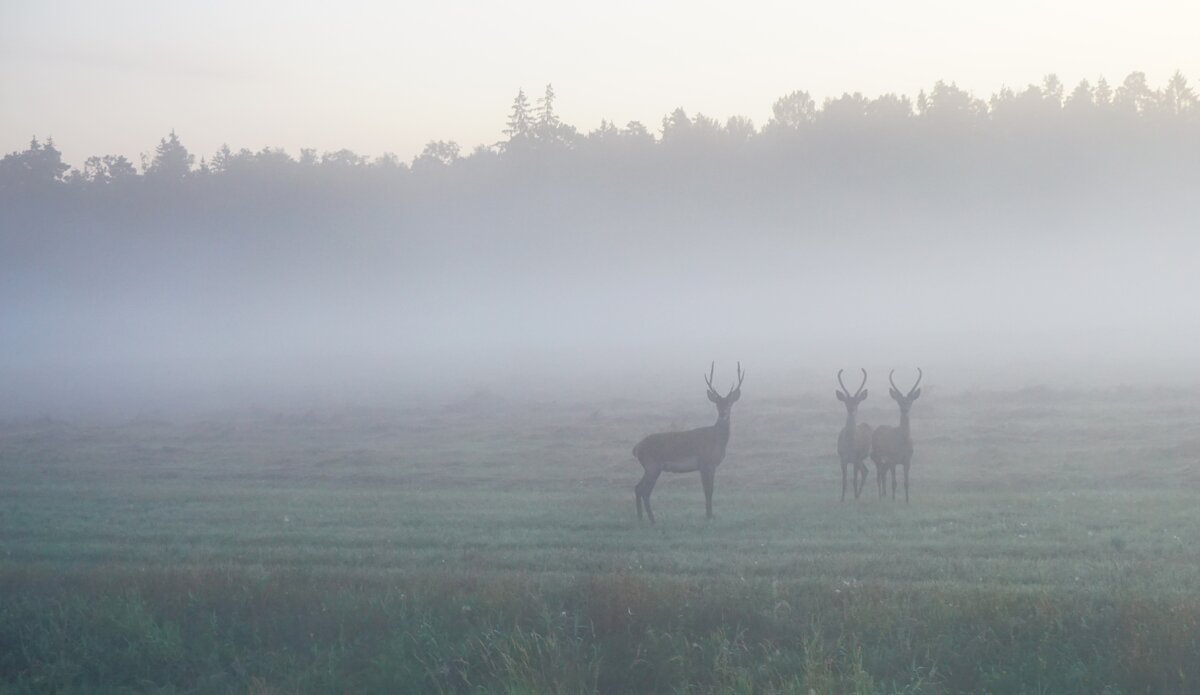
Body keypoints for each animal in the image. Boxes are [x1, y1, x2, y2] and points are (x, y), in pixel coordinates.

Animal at [633, 364, 744, 523]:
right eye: (717, 404)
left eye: (729, 403)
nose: (723, 413)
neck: (717, 441)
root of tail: (636, 448)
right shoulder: (704, 463)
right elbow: (707, 490)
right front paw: (708, 516)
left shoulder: (711, 466)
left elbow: (711, 489)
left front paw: (710, 515)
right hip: (652, 465)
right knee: (643, 490)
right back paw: (652, 520)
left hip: (650, 467)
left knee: (638, 488)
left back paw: (642, 518)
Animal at [835, 369, 873, 499]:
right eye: (846, 402)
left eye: (857, 402)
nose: (851, 409)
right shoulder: (842, 458)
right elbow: (844, 480)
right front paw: (842, 499)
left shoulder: (856, 458)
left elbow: (855, 480)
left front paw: (855, 498)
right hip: (859, 460)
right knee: (865, 471)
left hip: (865, 456)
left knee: (867, 471)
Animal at [868, 369, 921, 506]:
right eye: (899, 401)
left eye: (910, 401)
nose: (904, 409)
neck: (902, 443)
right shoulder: (892, 460)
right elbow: (894, 482)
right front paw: (893, 500)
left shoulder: (908, 461)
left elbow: (906, 483)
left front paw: (907, 501)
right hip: (877, 455)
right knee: (879, 475)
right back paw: (880, 497)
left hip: (884, 461)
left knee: (883, 473)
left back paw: (884, 495)